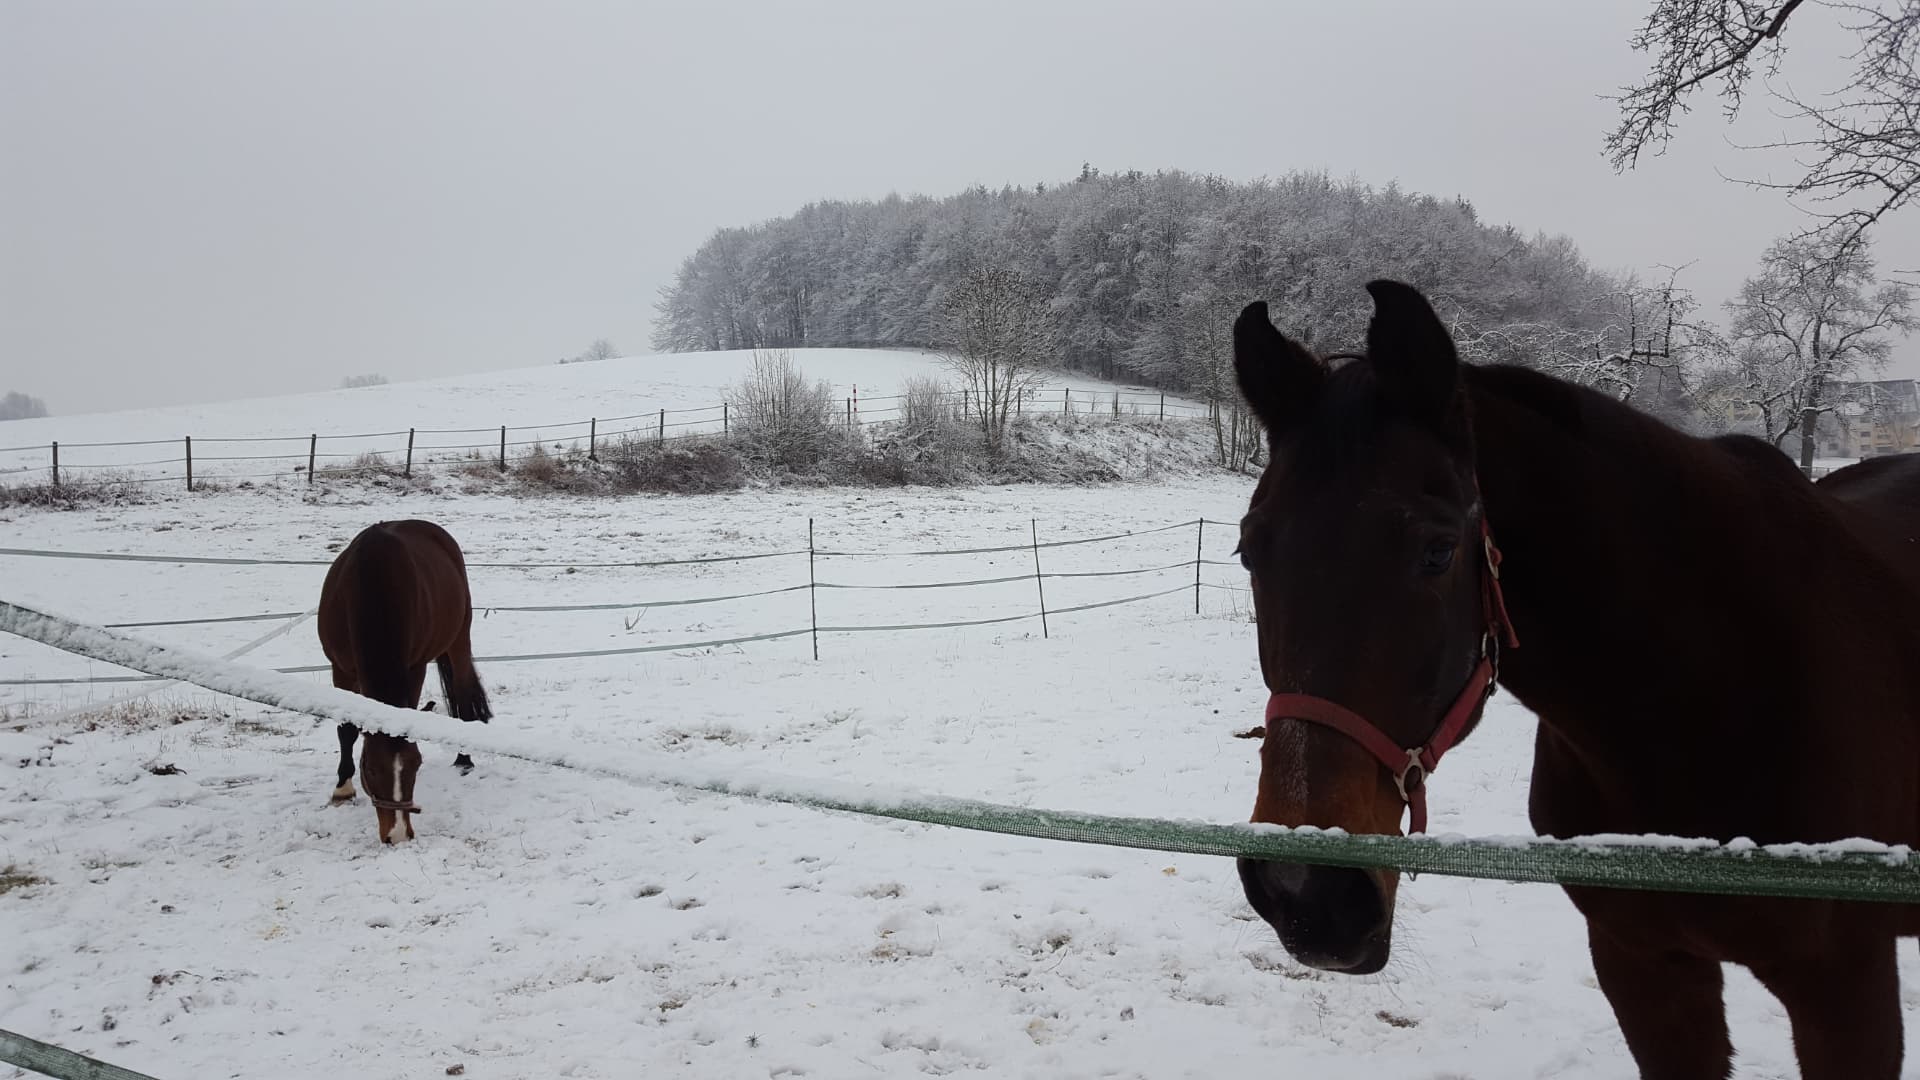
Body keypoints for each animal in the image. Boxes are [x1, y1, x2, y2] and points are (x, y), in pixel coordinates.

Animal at [317, 519, 492, 844]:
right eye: (371, 769)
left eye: (416, 765)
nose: (397, 834)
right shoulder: (341, 668)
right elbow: (346, 730)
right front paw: (342, 789)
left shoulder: (414, 666)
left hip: (459, 638)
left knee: (462, 693)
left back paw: (464, 758)